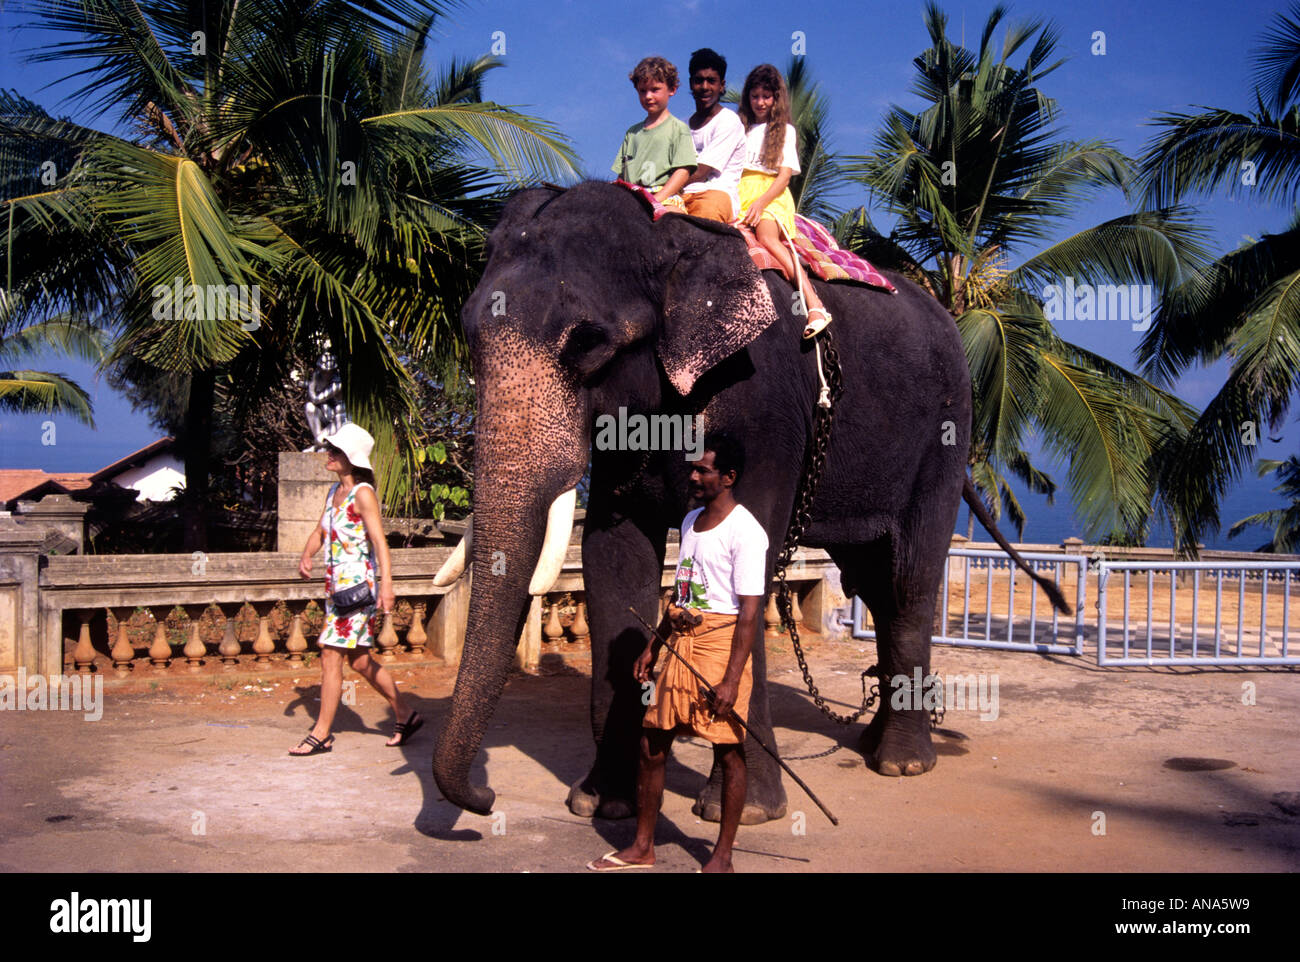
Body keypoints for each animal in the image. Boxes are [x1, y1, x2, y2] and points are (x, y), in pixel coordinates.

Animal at [430, 180, 1069, 821]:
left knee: (908, 580)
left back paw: (900, 763)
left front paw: (745, 812)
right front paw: (601, 804)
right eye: (466, 333)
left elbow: (751, 553)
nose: (486, 797)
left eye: (588, 342)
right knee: (876, 583)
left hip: (944, 435)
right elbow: (613, 554)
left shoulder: (765, 407)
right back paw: (871, 744)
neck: (672, 235)